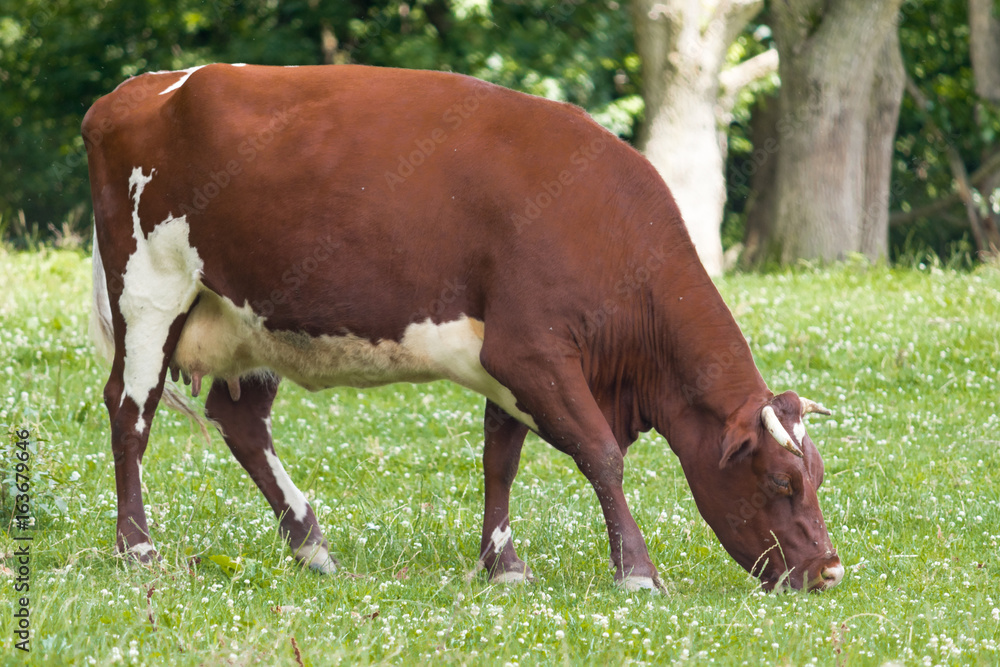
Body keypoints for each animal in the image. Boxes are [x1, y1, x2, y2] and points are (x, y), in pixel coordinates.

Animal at [84, 63, 843, 592]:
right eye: (782, 481)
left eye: (816, 475)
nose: (830, 569)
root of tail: (138, 90)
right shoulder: (531, 350)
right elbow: (601, 452)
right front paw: (637, 570)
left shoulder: (507, 363)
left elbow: (500, 457)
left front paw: (503, 563)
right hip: (148, 291)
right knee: (130, 411)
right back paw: (138, 547)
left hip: (250, 317)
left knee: (241, 421)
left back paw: (311, 545)